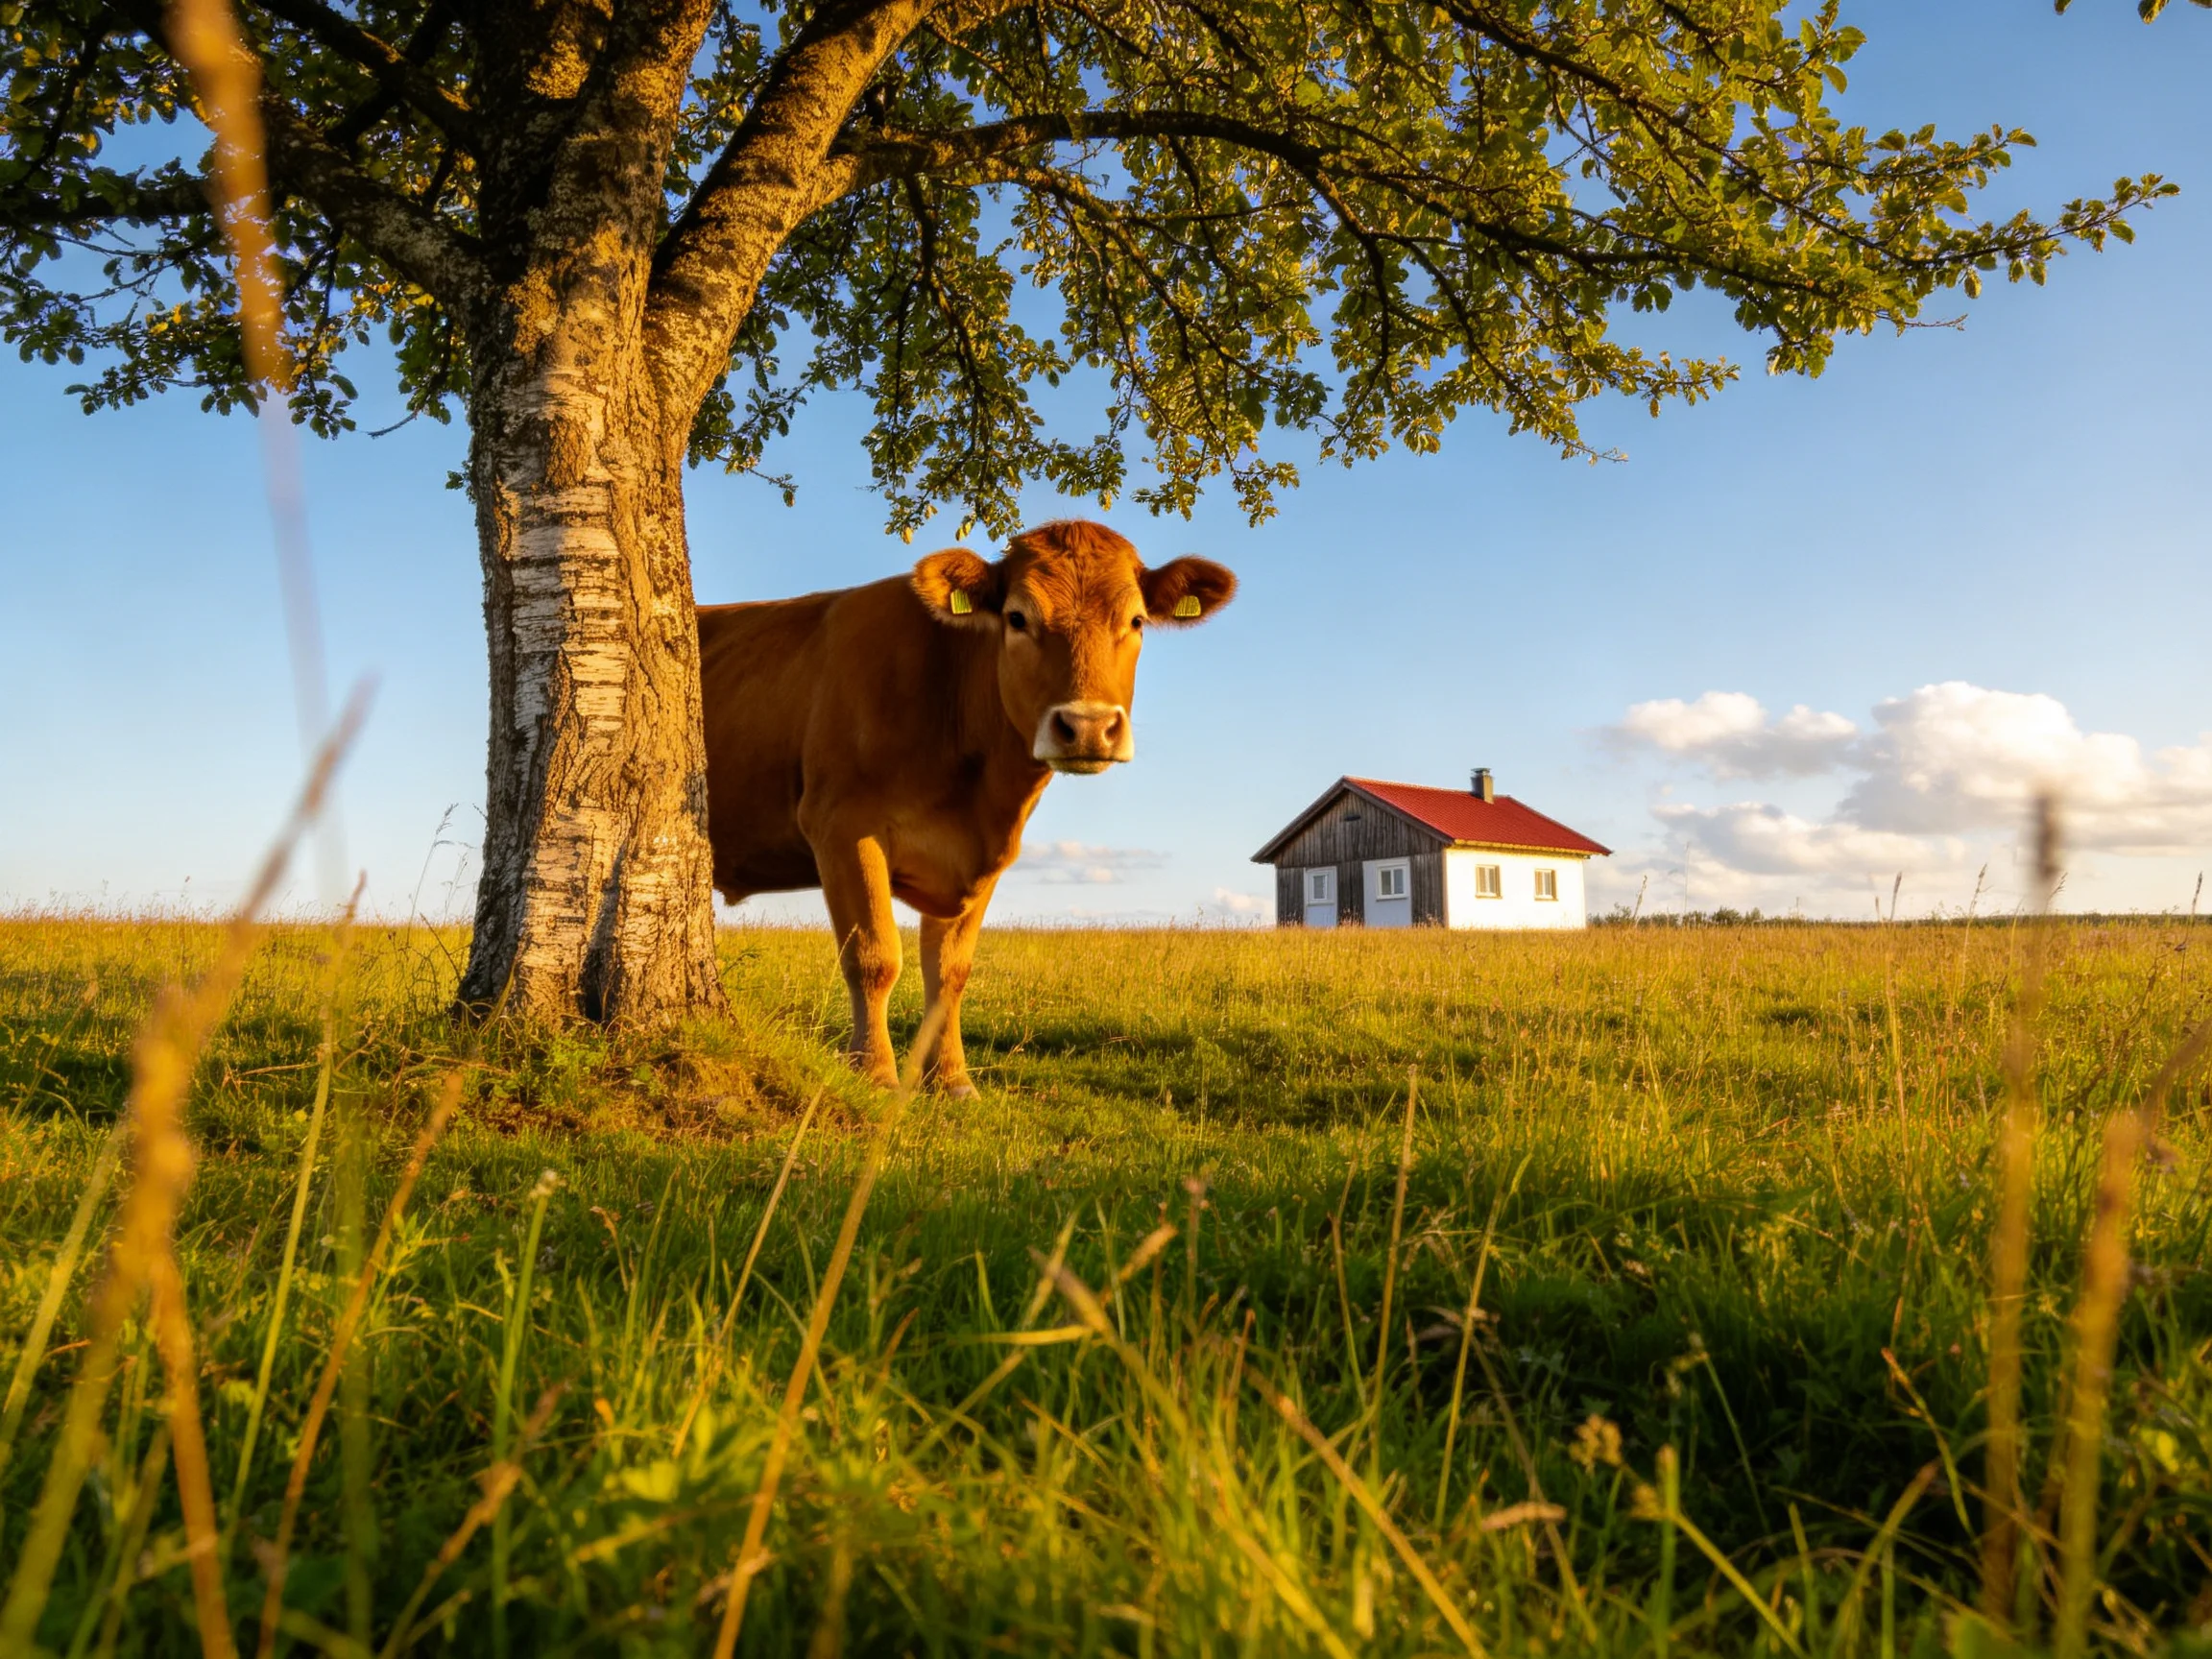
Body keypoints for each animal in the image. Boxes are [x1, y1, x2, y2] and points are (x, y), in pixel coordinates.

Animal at [698, 519, 1238, 1095]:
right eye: (1017, 617)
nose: (1088, 725)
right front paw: (876, 1074)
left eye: (1135, 620)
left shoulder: (982, 855)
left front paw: (953, 1079)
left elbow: (949, 973)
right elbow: (873, 956)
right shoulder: (841, 826)